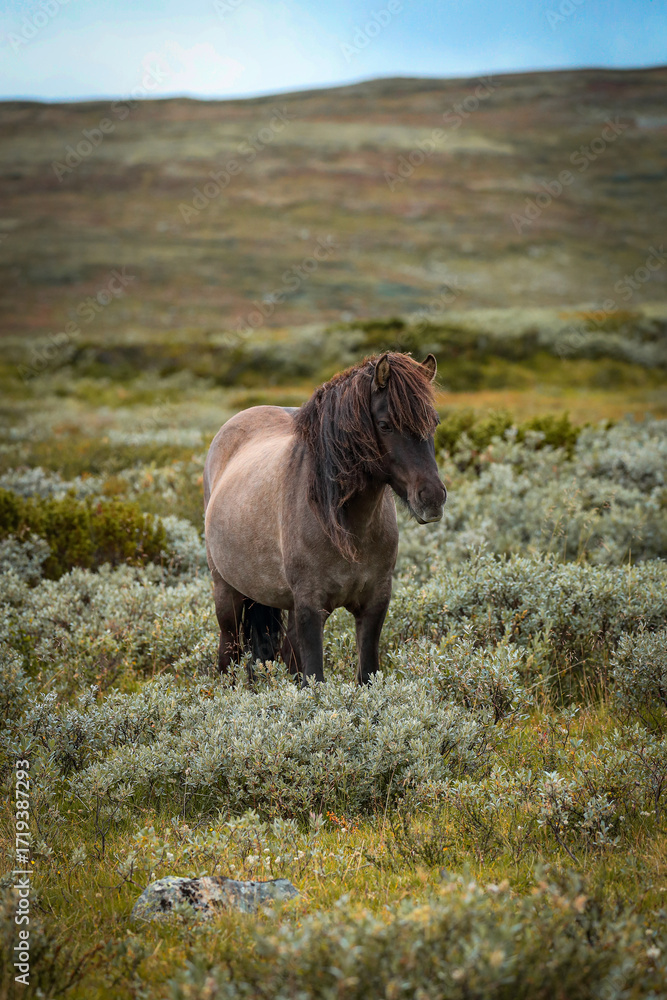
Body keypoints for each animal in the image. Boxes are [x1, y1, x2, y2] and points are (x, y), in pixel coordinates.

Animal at [203, 351, 446, 686]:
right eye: (385, 425)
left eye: (434, 422)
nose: (432, 498)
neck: (346, 528)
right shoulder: (310, 606)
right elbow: (314, 678)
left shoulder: (374, 604)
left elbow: (366, 674)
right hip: (227, 593)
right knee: (229, 653)